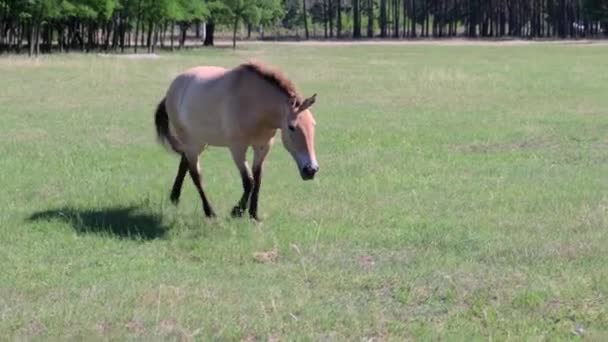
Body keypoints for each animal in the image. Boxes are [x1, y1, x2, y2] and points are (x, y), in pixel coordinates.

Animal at [154, 60, 320, 222]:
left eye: (313, 124)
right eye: (292, 127)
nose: (311, 170)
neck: (254, 104)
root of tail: (172, 89)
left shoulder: (263, 146)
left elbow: (258, 179)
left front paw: (254, 214)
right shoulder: (237, 148)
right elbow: (249, 181)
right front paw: (237, 211)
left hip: (198, 143)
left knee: (184, 164)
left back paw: (174, 198)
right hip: (192, 143)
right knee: (196, 175)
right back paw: (209, 212)